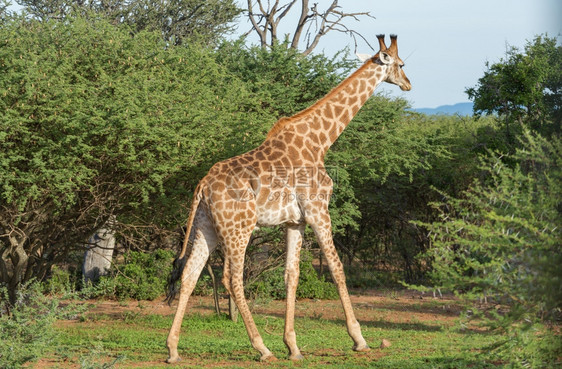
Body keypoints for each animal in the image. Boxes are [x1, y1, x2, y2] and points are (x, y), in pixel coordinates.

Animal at [164, 33, 410, 360]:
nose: (408, 84)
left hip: (207, 226)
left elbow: (291, 275)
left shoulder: (296, 220)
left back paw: (173, 348)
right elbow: (337, 269)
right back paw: (262, 347)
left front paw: (293, 346)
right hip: (239, 227)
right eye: (401, 64)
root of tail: (202, 185)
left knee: (190, 274)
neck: (320, 140)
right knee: (232, 277)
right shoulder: (319, 210)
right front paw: (359, 338)